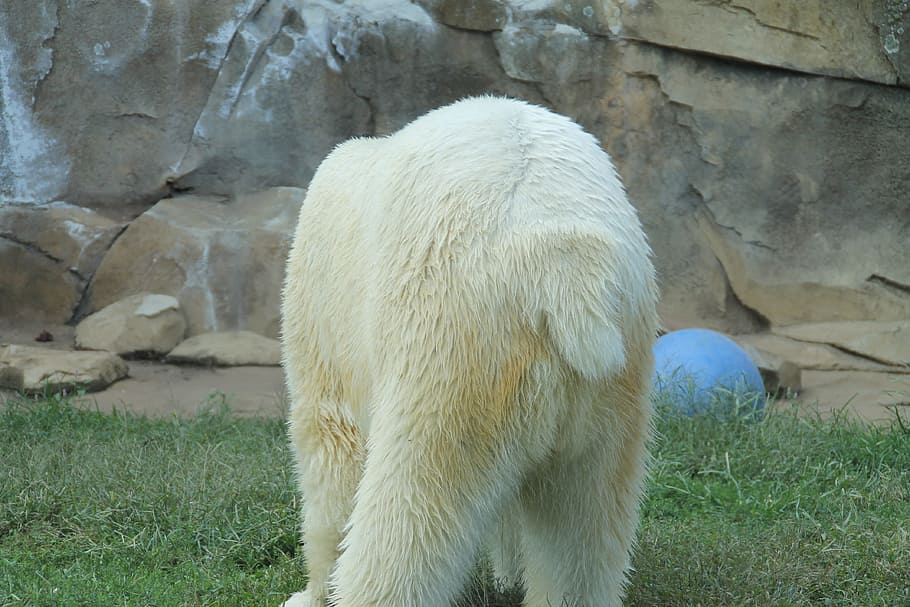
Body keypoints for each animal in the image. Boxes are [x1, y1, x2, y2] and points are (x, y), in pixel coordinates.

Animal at [280, 96, 659, 607]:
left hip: (454, 348)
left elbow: (331, 447)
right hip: (613, 376)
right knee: (582, 525)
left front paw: (310, 591)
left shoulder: (324, 309)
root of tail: (561, 263)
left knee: (414, 503)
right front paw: (509, 570)